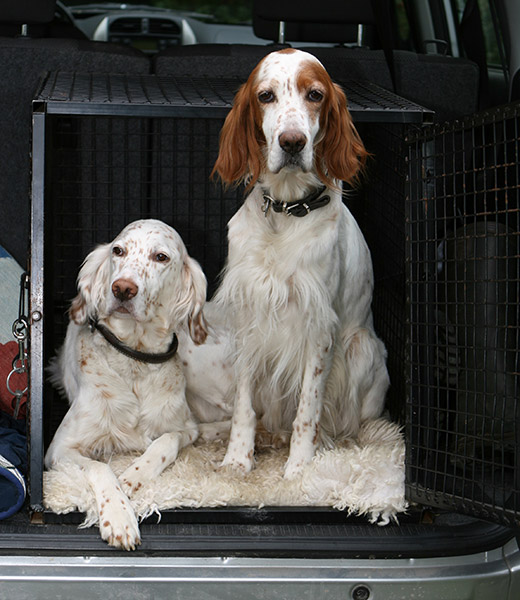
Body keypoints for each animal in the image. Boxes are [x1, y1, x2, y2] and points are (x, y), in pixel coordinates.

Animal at [44, 219, 210, 548]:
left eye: (161, 257)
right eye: (118, 251)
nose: (122, 288)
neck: (135, 359)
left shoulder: (187, 428)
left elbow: (165, 442)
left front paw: (134, 476)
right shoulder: (59, 449)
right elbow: (100, 466)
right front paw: (119, 516)